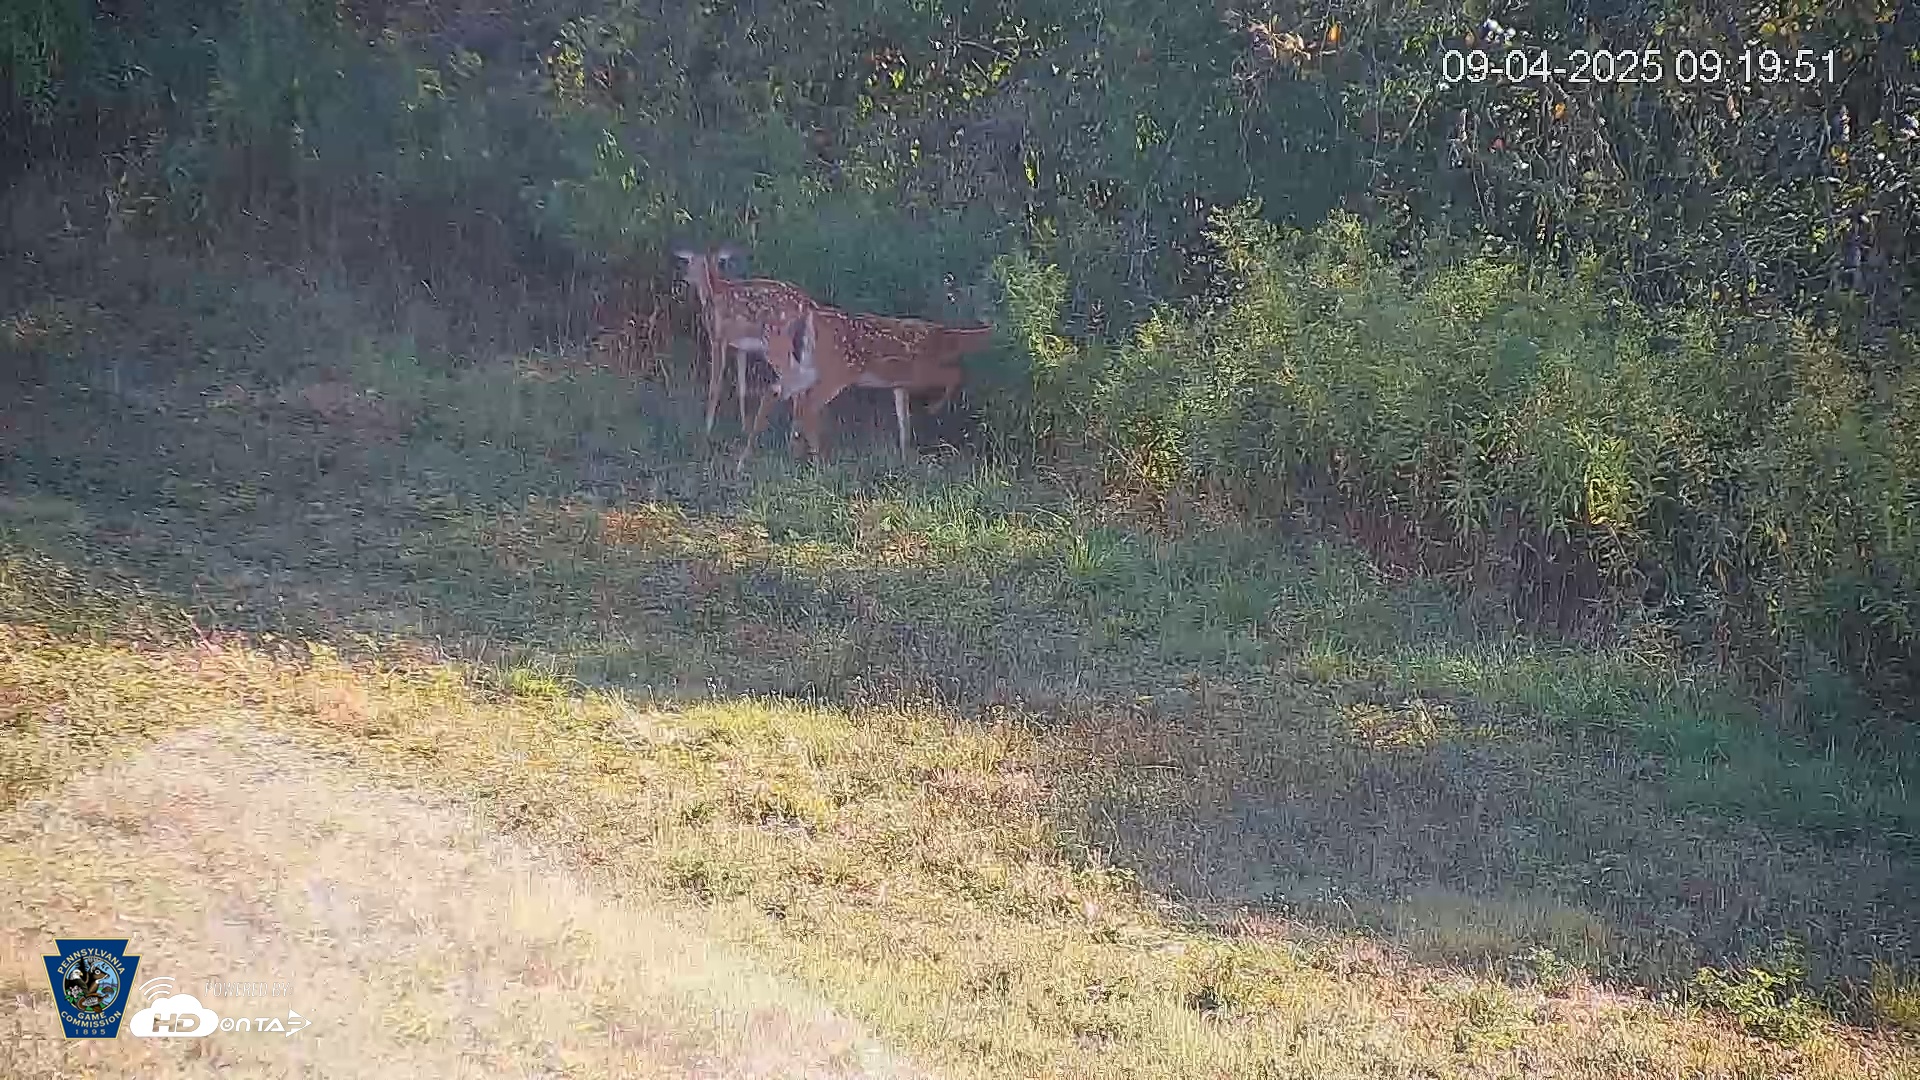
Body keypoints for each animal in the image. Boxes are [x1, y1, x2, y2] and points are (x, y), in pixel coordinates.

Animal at [672, 247, 818, 435]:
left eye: (695, 263)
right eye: (690, 261)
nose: (685, 277)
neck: (713, 290)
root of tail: (808, 305)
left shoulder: (718, 338)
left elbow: (715, 385)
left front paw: (707, 429)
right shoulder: (741, 347)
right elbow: (742, 386)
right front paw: (743, 427)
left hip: (776, 342)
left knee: (796, 379)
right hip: (801, 343)